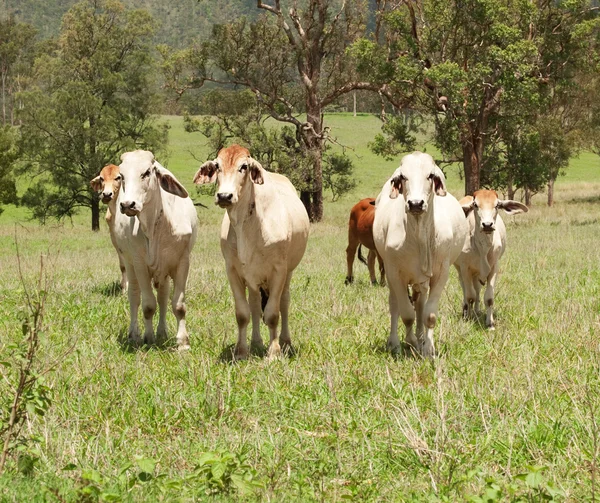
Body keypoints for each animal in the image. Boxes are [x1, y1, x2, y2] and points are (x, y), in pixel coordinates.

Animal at [90, 163, 127, 294]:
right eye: (102, 178)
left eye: (118, 177)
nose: (106, 194)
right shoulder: (116, 242)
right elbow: (123, 266)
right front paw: (124, 289)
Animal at [112, 151, 197, 350]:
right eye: (122, 176)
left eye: (146, 172)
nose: (127, 204)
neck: (155, 226)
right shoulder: (140, 264)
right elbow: (148, 305)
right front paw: (148, 338)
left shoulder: (182, 262)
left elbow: (178, 305)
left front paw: (183, 342)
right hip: (129, 264)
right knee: (134, 296)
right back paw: (134, 334)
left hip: (163, 272)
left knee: (163, 296)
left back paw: (162, 331)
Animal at [193, 144, 310, 360]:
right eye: (217, 166)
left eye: (244, 167)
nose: (224, 196)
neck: (247, 224)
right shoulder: (233, 270)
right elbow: (243, 313)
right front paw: (241, 351)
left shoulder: (278, 271)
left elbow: (272, 314)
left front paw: (274, 352)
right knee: (255, 305)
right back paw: (256, 342)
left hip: (288, 273)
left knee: (284, 302)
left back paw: (285, 341)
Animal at [372, 152, 466, 356]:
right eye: (403, 177)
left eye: (430, 175)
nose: (415, 203)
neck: (419, 235)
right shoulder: (394, 274)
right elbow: (407, 314)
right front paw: (410, 341)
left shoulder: (441, 273)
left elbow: (428, 314)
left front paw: (428, 348)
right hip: (393, 277)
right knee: (395, 305)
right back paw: (395, 342)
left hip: (421, 281)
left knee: (420, 304)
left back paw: (421, 337)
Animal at [458, 191, 528, 328]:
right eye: (475, 205)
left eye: (497, 205)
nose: (487, 225)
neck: (483, 247)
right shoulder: (465, 268)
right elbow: (469, 296)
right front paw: (468, 318)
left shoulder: (494, 267)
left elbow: (489, 298)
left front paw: (490, 323)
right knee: (465, 290)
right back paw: (466, 311)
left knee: (477, 291)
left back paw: (477, 310)